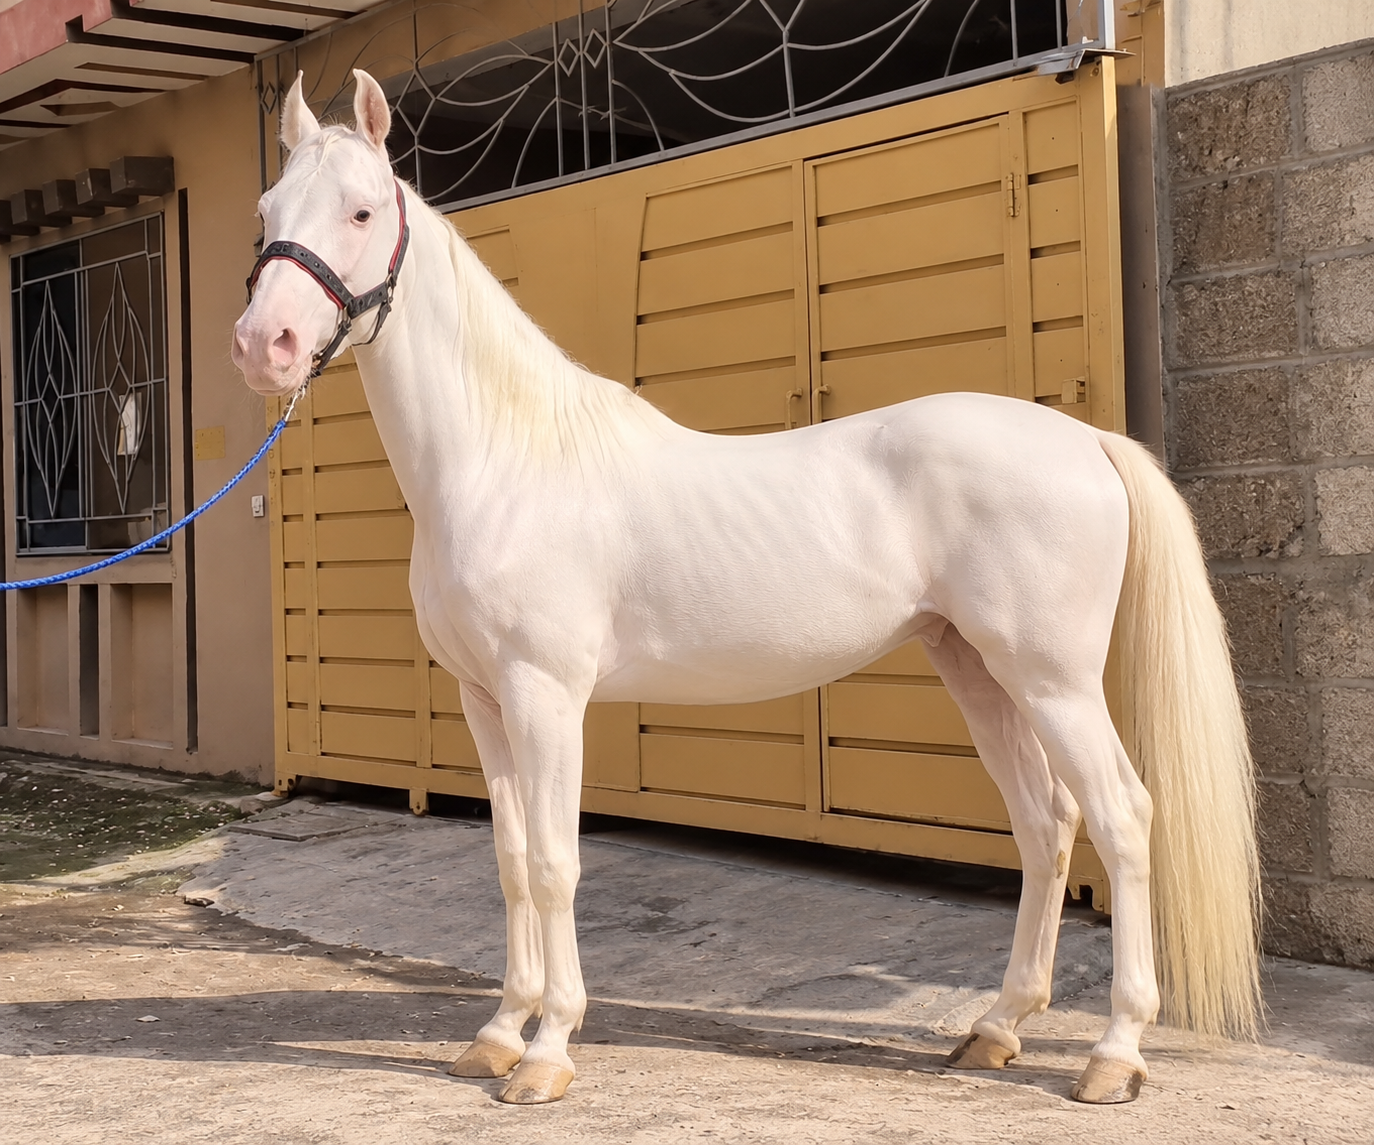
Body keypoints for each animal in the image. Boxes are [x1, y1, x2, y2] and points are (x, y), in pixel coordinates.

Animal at [232, 69, 1261, 1107]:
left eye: (361, 211)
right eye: (266, 212)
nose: (262, 345)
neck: (505, 460)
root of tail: (1087, 439)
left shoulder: (545, 696)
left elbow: (559, 864)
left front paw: (549, 1049)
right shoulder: (484, 700)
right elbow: (515, 862)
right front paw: (494, 1034)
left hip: (1054, 680)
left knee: (1123, 817)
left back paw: (1114, 1053)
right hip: (977, 669)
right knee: (1046, 825)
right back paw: (996, 1029)